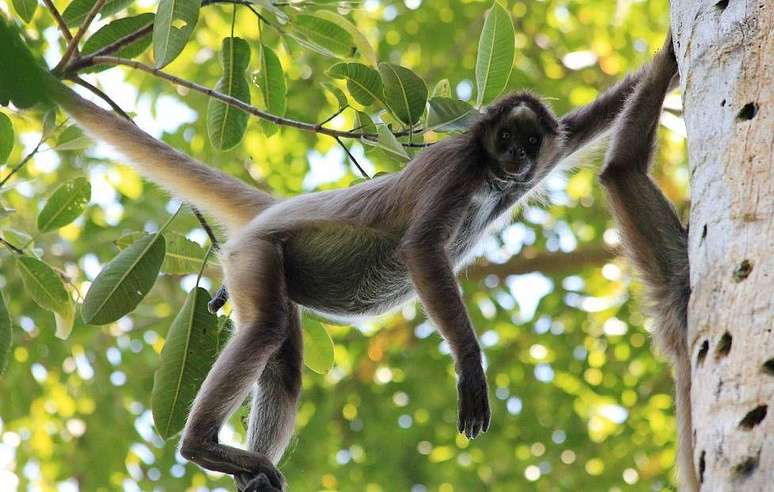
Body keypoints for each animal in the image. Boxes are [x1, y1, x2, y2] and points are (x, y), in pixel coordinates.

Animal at [6, 28, 665, 490]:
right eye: (506, 139)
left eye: (529, 143)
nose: (519, 161)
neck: (489, 174)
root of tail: (274, 210)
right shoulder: (458, 167)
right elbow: (421, 248)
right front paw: (470, 368)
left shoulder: (545, 150)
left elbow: (595, 117)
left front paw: (665, 61)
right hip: (256, 254)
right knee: (267, 330)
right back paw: (200, 447)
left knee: (283, 361)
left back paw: (247, 471)